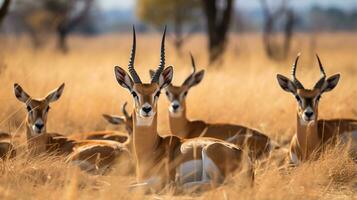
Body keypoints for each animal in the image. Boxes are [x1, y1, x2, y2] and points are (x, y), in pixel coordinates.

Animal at [112, 26, 252, 192]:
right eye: (134, 92)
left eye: (157, 92)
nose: (146, 109)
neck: (151, 149)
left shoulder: (158, 181)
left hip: (209, 153)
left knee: (215, 184)